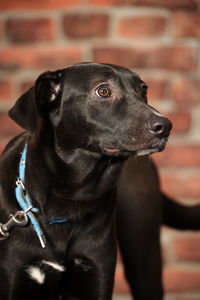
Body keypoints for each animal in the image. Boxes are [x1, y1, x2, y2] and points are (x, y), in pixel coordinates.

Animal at [0, 62, 172, 298]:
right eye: (103, 91)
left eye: (143, 90)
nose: (166, 126)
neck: (70, 197)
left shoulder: (97, 274)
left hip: (145, 263)